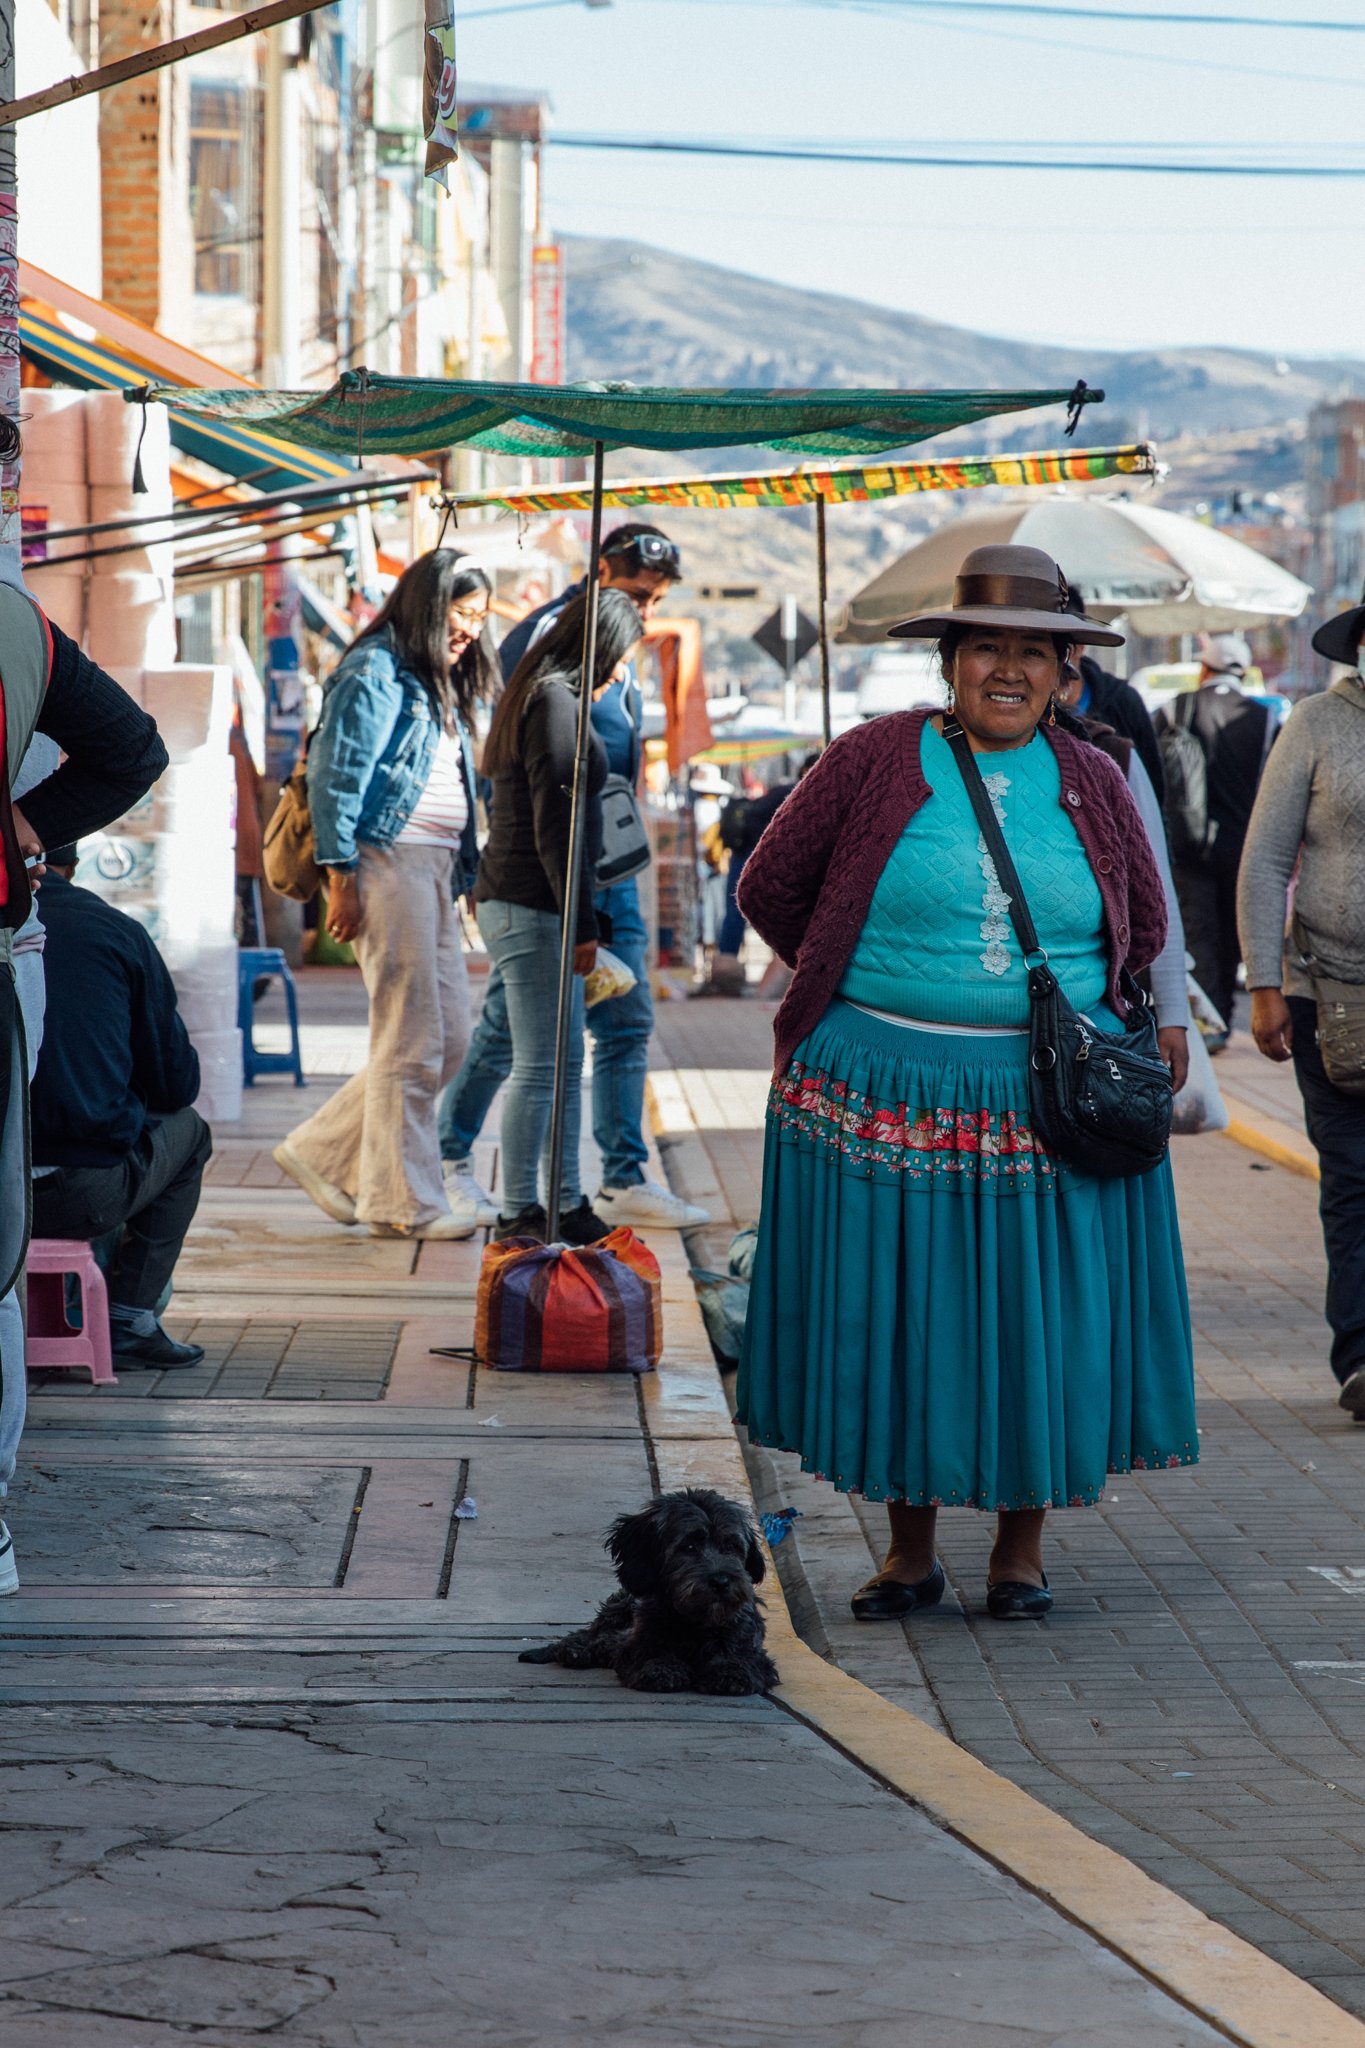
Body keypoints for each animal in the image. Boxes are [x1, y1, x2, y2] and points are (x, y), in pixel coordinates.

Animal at [519, 1490, 777, 1695]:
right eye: (689, 1547)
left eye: (730, 1546)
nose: (721, 1582)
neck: (695, 1621)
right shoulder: (640, 1641)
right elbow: (647, 1653)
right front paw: (661, 1669)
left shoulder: (750, 1647)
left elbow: (743, 1659)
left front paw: (730, 1672)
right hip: (618, 1609)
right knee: (594, 1635)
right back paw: (576, 1650)